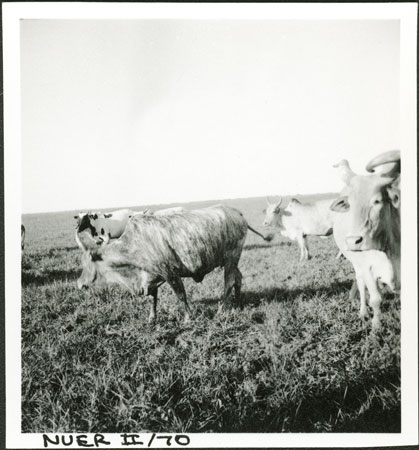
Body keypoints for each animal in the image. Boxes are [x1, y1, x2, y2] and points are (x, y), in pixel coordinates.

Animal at [76, 206, 272, 322]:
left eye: (86, 263)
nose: (78, 283)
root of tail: (237, 212)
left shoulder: (170, 273)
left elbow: (181, 296)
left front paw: (188, 318)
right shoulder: (152, 276)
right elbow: (153, 299)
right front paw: (152, 319)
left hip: (231, 258)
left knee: (229, 282)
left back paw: (221, 310)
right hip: (231, 261)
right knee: (238, 278)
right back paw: (237, 302)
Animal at [330, 149, 402, 328]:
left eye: (377, 201)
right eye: (350, 204)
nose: (353, 241)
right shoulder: (368, 269)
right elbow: (375, 299)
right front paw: (376, 325)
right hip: (358, 265)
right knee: (361, 285)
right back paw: (363, 312)